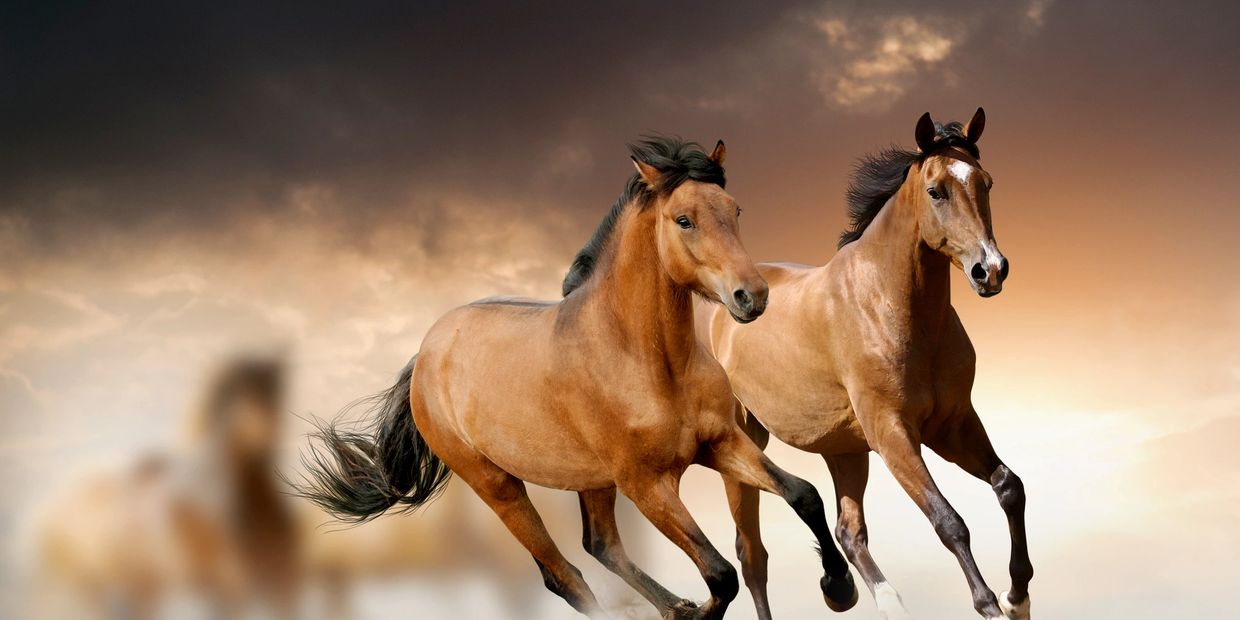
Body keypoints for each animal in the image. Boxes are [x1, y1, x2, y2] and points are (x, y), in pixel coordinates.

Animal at [294, 137, 857, 619]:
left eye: (735, 210)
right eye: (684, 219)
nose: (752, 297)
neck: (648, 361)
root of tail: (426, 354)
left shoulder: (720, 442)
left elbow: (804, 494)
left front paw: (839, 588)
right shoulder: (647, 485)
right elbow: (720, 575)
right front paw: (702, 612)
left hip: (590, 480)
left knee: (601, 545)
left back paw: (672, 605)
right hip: (498, 485)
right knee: (563, 575)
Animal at [699, 109, 1032, 620]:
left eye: (986, 183)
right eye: (936, 191)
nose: (990, 270)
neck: (889, 306)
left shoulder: (952, 424)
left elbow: (1009, 486)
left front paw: (1019, 597)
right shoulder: (893, 433)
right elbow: (948, 521)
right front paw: (991, 605)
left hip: (844, 450)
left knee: (848, 532)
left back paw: (862, 594)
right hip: (743, 445)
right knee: (752, 556)